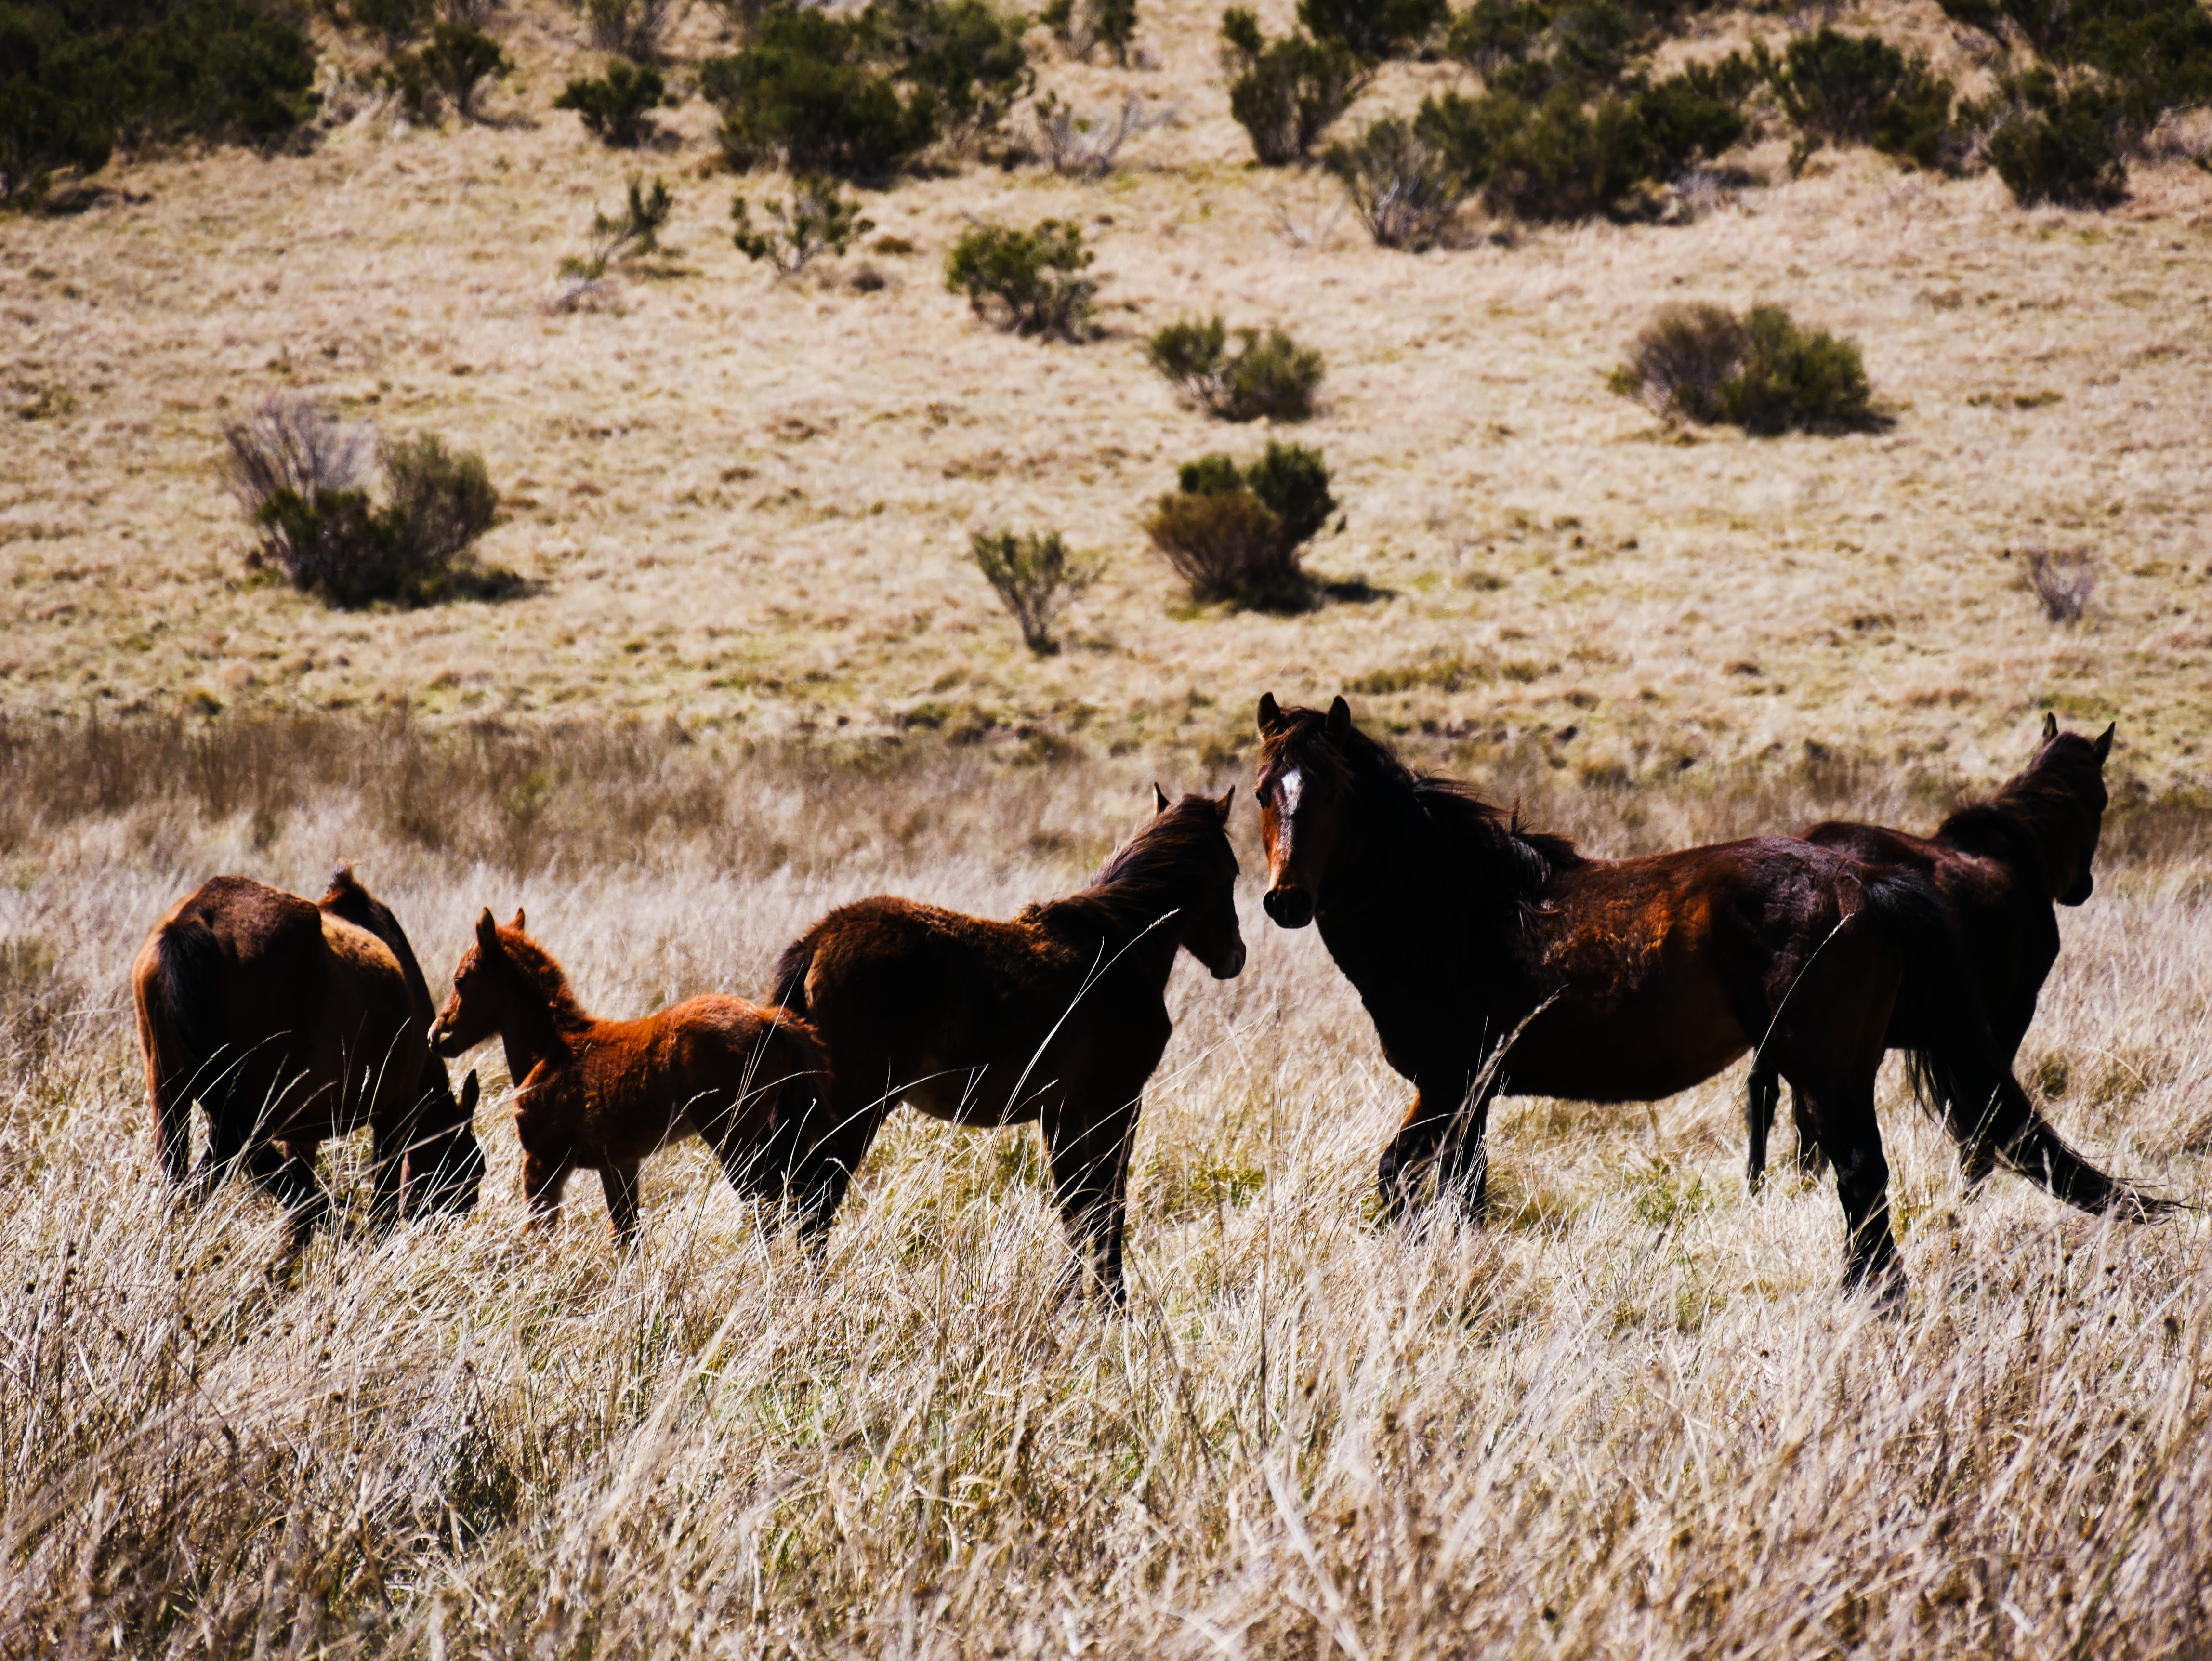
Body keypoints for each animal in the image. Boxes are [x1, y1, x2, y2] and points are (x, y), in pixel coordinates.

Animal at [131, 864, 485, 1252]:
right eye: (471, 1169)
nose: (451, 1226)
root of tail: (195, 918)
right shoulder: (394, 1114)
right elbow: (381, 1206)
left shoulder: (302, 1134)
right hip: (242, 1112)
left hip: (170, 1095)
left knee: (179, 1179)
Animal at [430, 908, 826, 1246]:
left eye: (461, 980)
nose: (437, 1036)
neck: (550, 1051)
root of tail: (767, 1019)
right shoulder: (618, 1164)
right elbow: (626, 1235)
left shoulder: (544, 1161)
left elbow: (538, 1235)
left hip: (733, 1136)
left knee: (767, 1206)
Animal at [768, 787, 1246, 1303]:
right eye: (1233, 871)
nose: (1235, 957)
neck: (1118, 945)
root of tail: (817, 942)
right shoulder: (1116, 1106)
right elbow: (1106, 1207)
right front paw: (1110, 1303)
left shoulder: (1062, 1115)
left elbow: (1077, 1208)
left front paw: (1068, 1300)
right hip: (856, 1112)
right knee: (816, 1201)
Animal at [1746, 714, 2116, 1192]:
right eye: (2103, 799)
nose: (2081, 889)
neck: (2017, 856)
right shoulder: (2012, 1011)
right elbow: (1985, 1110)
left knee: (1765, 1093)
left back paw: (1759, 1187)